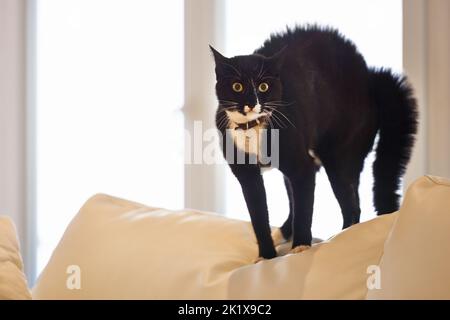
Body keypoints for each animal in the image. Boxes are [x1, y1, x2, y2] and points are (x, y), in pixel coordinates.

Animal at [211, 25, 418, 260]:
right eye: (237, 86)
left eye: (263, 86)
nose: (251, 103)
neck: (251, 127)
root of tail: (369, 77)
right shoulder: (246, 175)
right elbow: (258, 216)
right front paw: (266, 256)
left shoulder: (301, 166)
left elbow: (304, 207)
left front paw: (301, 246)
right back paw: (282, 234)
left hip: (339, 155)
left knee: (350, 204)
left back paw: (342, 238)